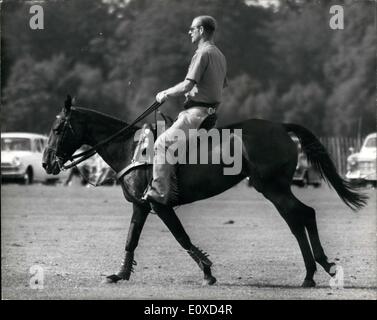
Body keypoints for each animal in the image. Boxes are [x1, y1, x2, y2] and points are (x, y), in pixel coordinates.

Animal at [41, 97, 368, 288]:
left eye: (57, 129)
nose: (46, 163)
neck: (128, 148)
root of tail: (281, 127)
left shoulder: (159, 204)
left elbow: (181, 236)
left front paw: (208, 272)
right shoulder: (141, 205)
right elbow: (131, 238)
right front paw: (120, 274)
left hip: (272, 187)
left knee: (301, 215)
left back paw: (317, 270)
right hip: (275, 188)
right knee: (300, 218)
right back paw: (313, 272)